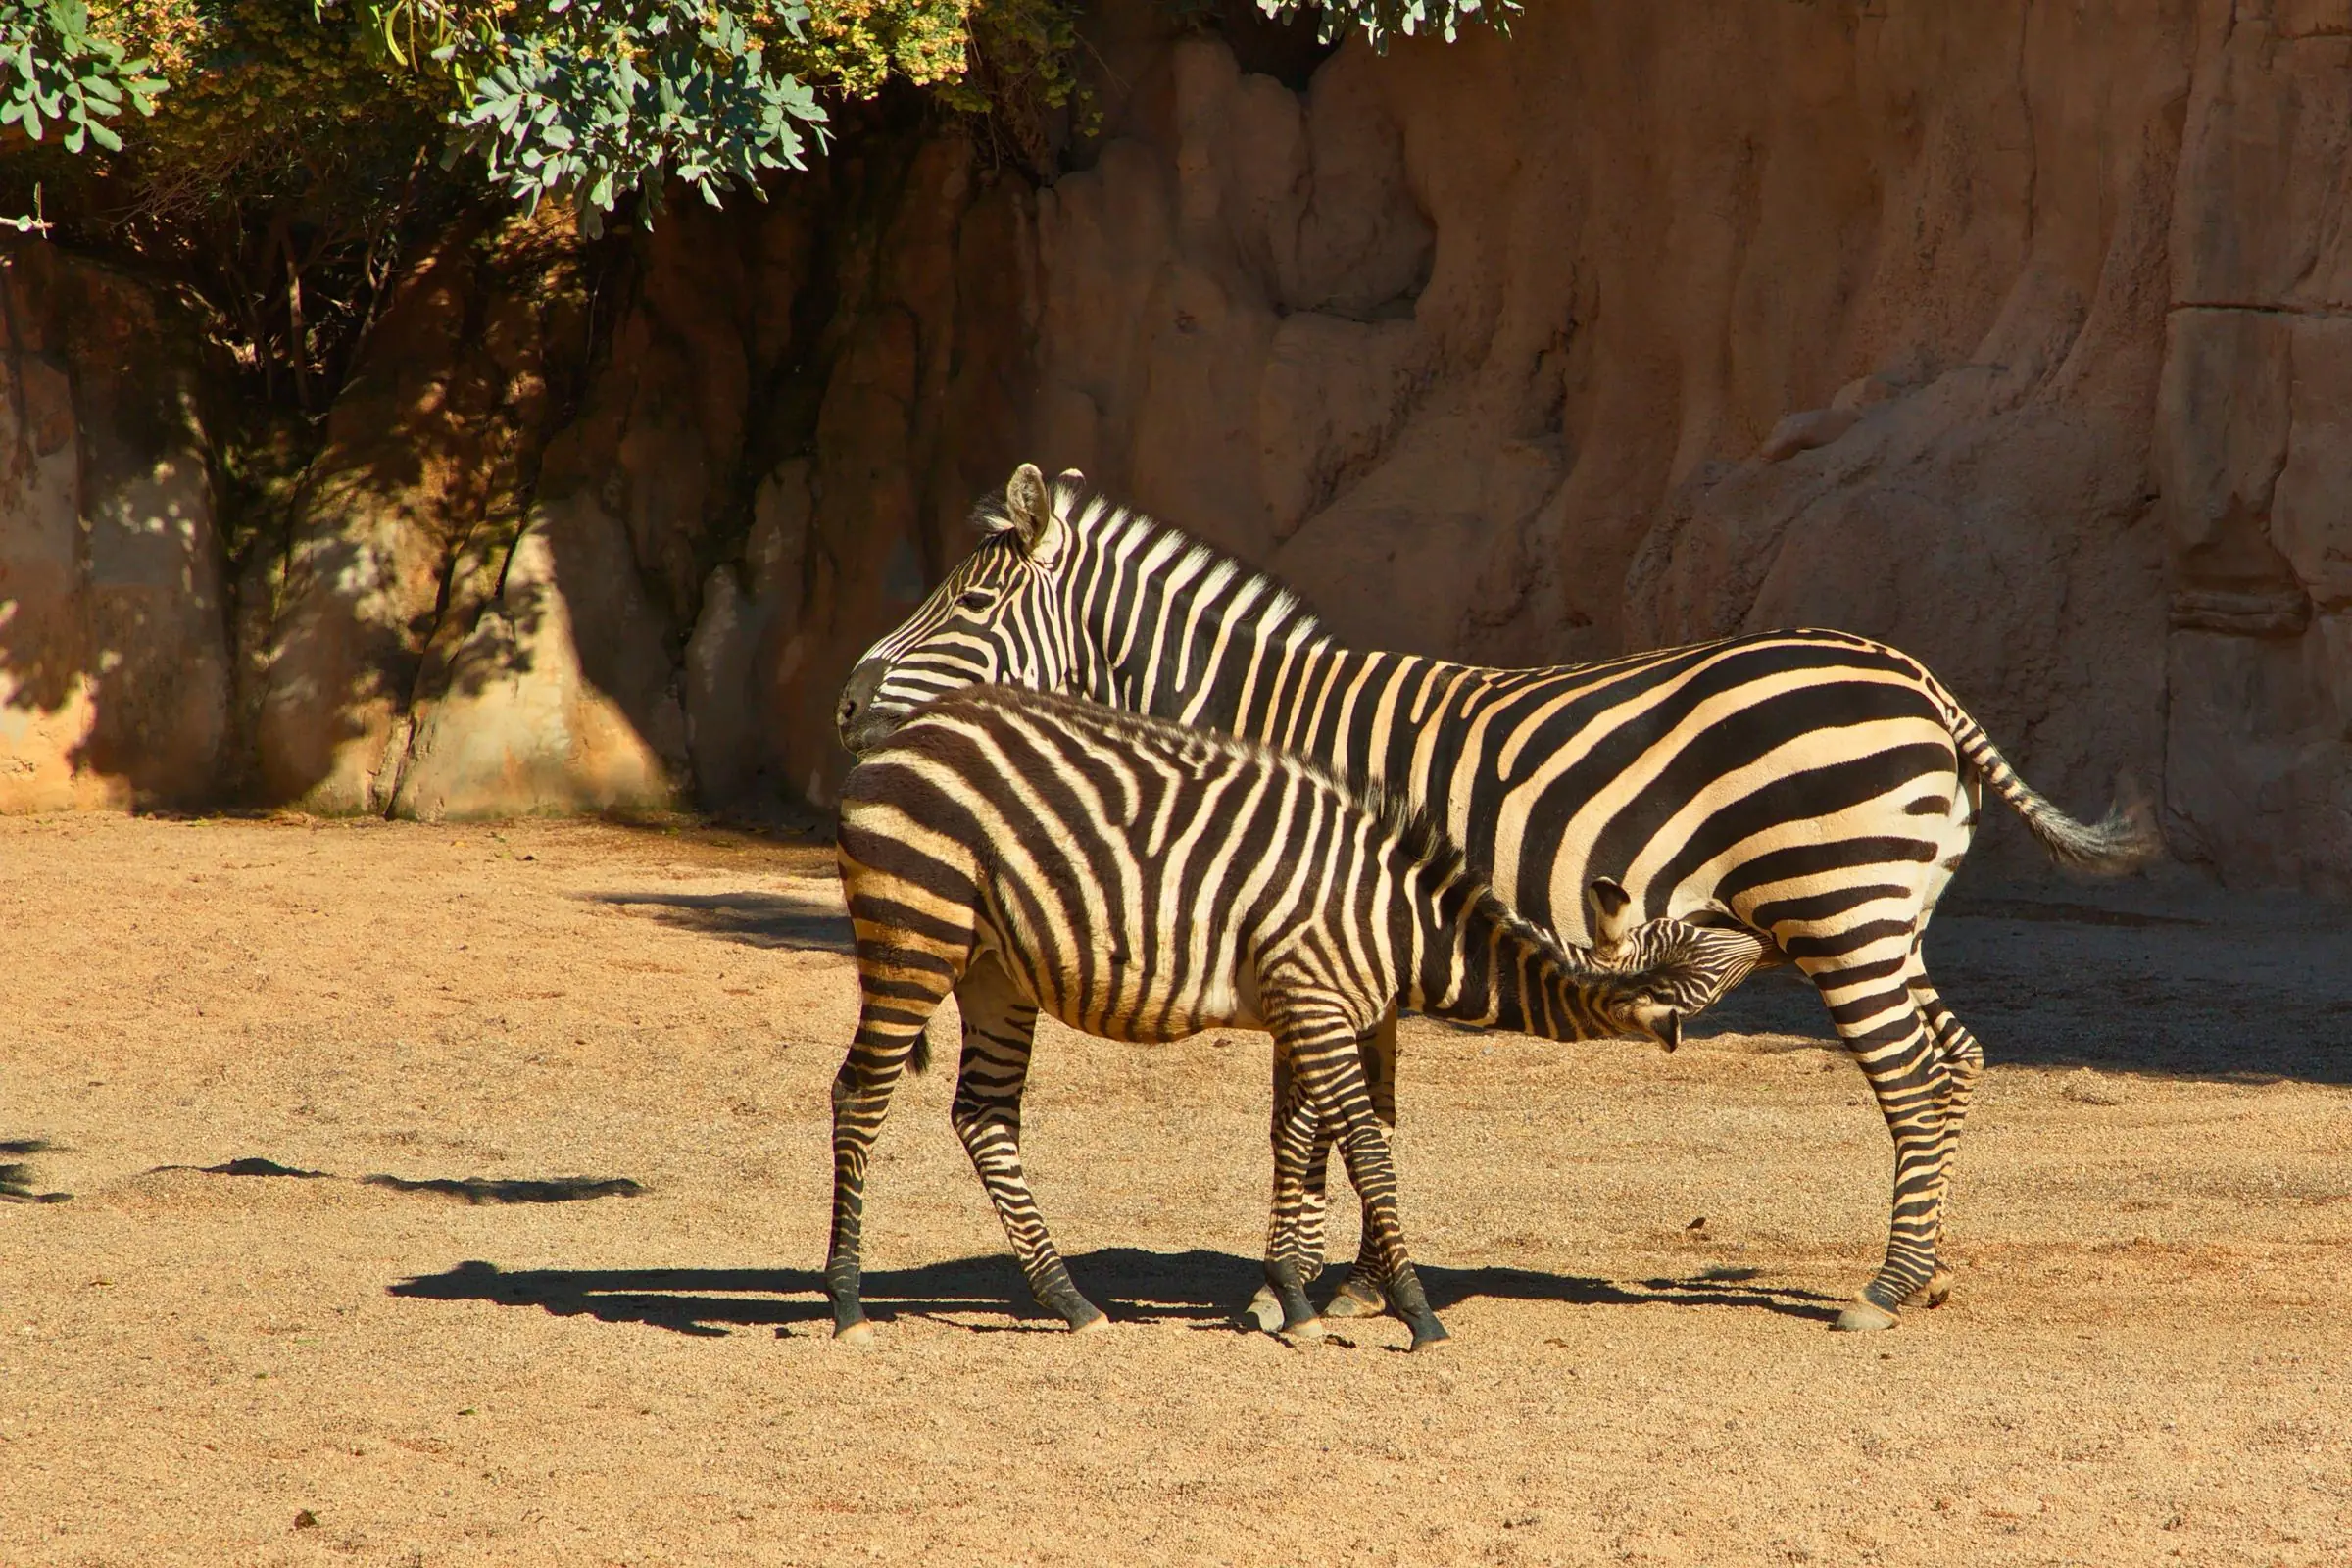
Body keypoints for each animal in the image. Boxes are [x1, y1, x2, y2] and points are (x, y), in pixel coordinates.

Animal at [826, 684, 1766, 1350]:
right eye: (1701, 943)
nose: (1760, 929)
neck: (1397, 919)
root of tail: (898, 735)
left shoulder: (1309, 1005)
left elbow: (1298, 1143)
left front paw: (1290, 1297)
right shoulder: (1314, 1001)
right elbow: (1367, 1152)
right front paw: (1416, 1314)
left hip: (996, 969)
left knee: (983, 1116)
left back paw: (1069, 1301)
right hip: (916, 930)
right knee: (861, 1095)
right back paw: (847, 1303)